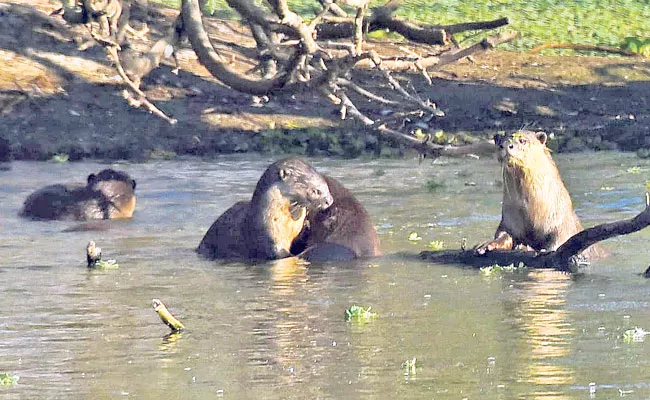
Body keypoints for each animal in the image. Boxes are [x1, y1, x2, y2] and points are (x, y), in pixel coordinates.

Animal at [470, 129, 604, 260]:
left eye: (523, 140)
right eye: (500, 143)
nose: (506, 145)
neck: (534, 213)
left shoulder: (562, 222)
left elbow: (558, 241)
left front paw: (531, 248)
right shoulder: (509, 220)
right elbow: (503, 234)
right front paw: (486, 244)